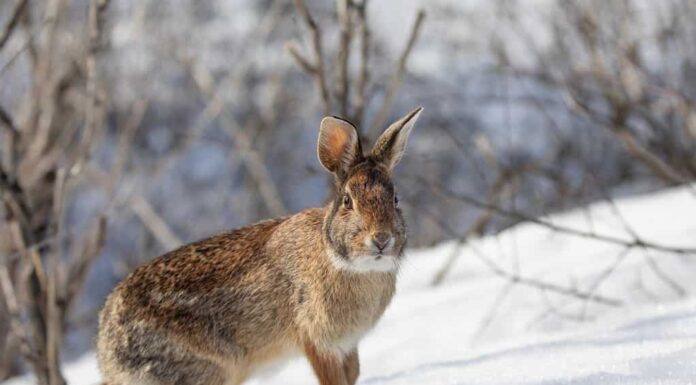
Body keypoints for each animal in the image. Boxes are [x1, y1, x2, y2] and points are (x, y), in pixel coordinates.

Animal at [96, 106, 424, 384]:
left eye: (395, 200)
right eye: (347, 202)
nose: (381, 238)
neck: (341, 260)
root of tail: (107, 349)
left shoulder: (346, 344)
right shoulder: (317, 339)